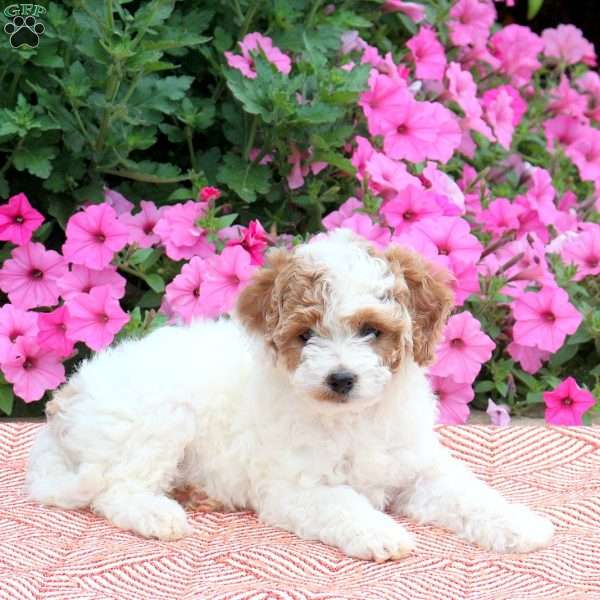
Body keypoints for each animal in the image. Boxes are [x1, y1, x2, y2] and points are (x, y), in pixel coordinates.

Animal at [27, 231, 552, 564]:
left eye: (371, 330)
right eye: (306, 335)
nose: (341, 378)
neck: (354, 419)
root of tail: (69, 397)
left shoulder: (420, 470)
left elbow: (471, 494)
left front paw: (519, 524)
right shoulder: (294, 488)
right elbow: (343, 503)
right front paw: (379, 532)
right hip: (158, 422)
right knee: (114, 491)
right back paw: (158, 514)